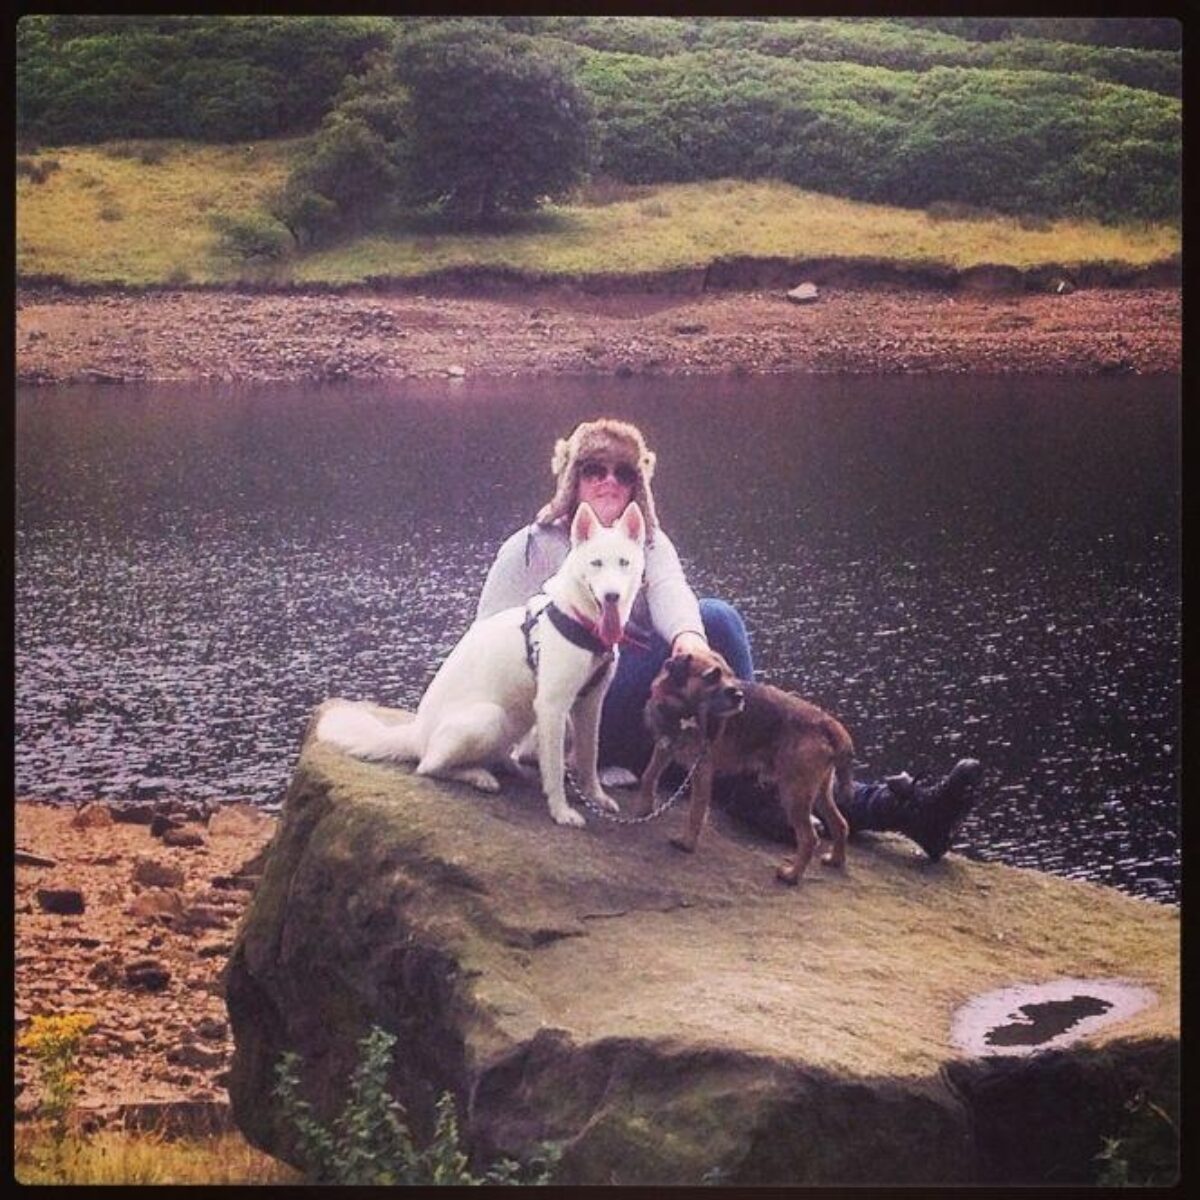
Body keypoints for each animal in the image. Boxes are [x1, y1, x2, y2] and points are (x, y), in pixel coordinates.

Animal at [312, 496, 648, 825]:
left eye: (623, 563)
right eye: (596, 563)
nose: (612, 596)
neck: (579, 618)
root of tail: (416, 734)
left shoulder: (590, 703)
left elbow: (590, 757)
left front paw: (596, 798)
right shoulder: (553, 706)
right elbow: (553, 769)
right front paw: (561, 811)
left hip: (517, 718)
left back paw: (510, 767)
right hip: (489, 717)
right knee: (429, 766)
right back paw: (477, 775)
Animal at [638, 652, 854, 888]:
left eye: (731, 675)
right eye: (712, 676)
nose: (739, 696)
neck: (682, 711)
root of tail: (829, 723)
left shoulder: (701, 770)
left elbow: (696, 811)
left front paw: (687, 843)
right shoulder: (664, 747)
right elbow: (648, 776)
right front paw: (645, 808)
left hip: (794, 792)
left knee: (809, 838)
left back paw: (792, 875)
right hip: (820, 791)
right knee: (840, 823)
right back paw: (835, 860)